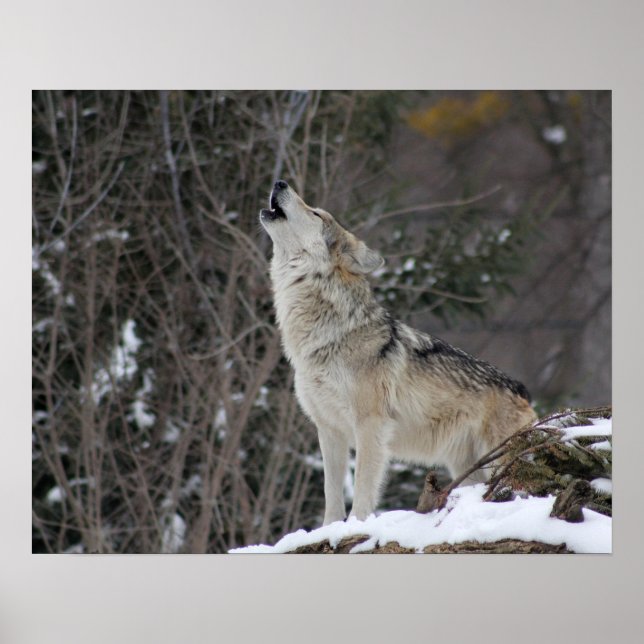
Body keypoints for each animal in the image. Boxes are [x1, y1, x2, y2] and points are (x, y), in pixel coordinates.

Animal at [260, 180, 536, 525]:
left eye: (316, 213)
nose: (279, 182)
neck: (327, 335)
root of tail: (523, 390)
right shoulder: (329, 429)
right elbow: (331, 494)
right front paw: (329, 529)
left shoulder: (370, 425)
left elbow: (363, 488)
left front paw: (356, 526)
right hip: (466, 468)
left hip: (497, 459)